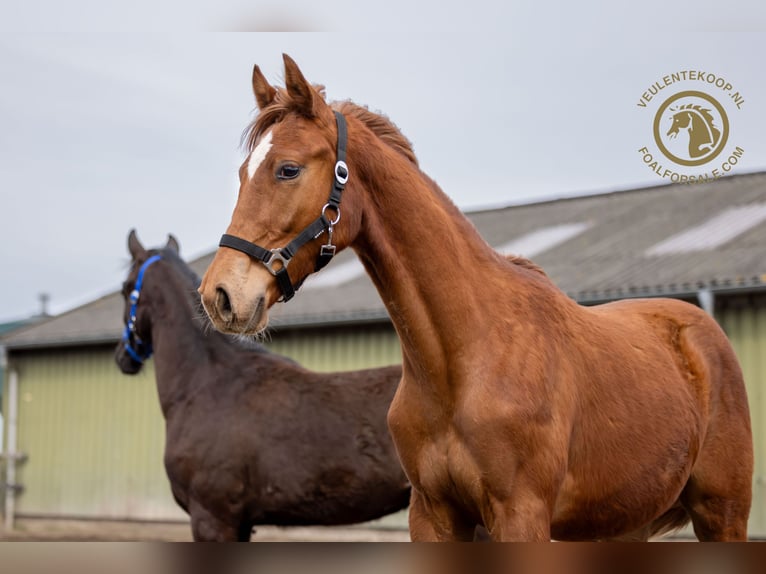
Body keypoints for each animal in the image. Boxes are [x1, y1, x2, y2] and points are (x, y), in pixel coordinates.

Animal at [198, 56, 756, 544]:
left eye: (288, 170)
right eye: (244, 173)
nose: (219, 295)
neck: (463, 358)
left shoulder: (521, 515)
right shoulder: (433, 514)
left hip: (722, 515)